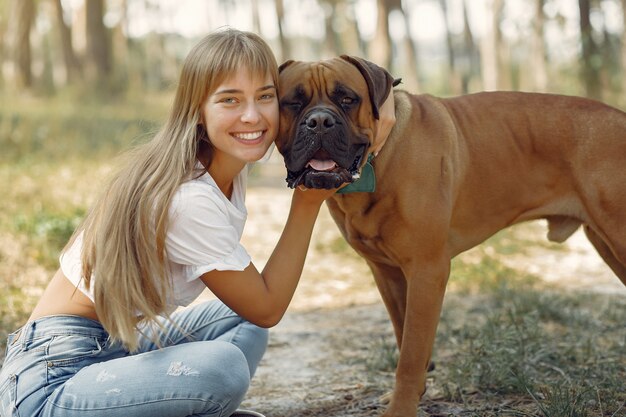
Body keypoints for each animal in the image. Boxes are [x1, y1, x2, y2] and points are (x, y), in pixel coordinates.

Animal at [274, 56, 624, 416]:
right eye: (292, 103)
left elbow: (411, 352)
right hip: (608, 245)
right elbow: (404, 335)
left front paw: (401, 408)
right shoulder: (388, 274)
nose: (319, 121)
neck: (380, 157)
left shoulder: (427, 271)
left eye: (347, 98)